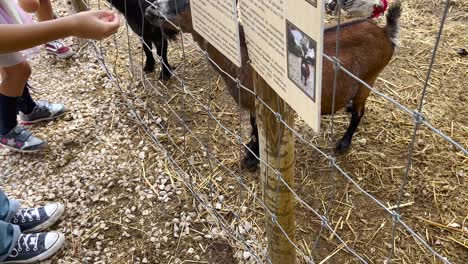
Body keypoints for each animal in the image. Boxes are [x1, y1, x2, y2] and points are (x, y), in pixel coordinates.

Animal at [144, 0, 400, 169]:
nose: (149, 9)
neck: (244, 55)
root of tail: (385, 33)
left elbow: (257, 128)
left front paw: (252, 158)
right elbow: (252, 126)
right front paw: (250, 150)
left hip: (369, 78)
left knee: (359, 112)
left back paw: (344, 143)